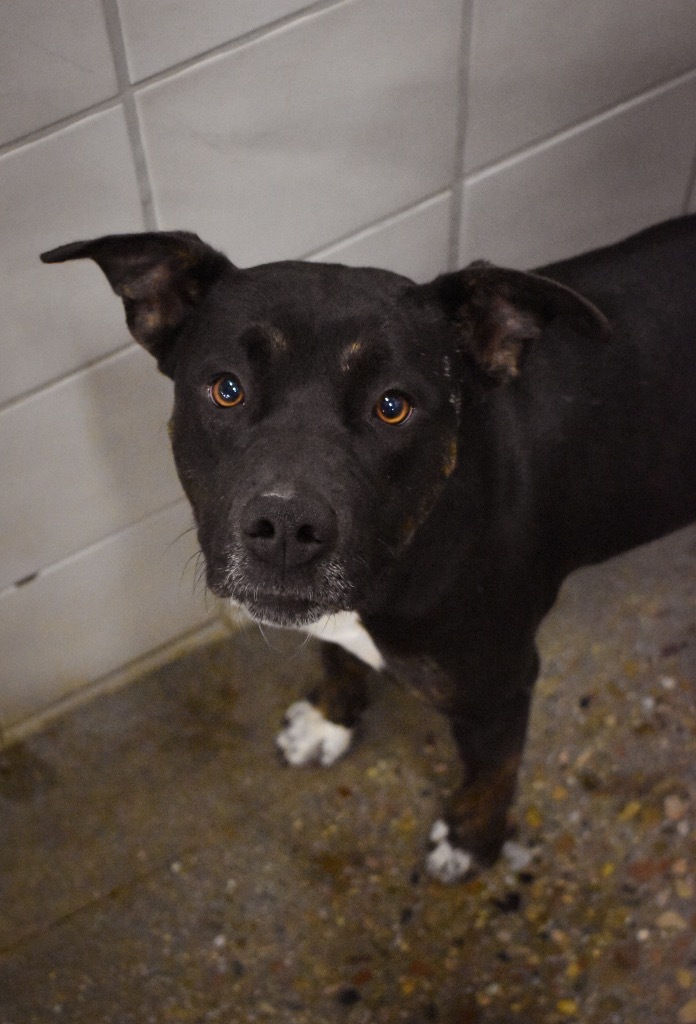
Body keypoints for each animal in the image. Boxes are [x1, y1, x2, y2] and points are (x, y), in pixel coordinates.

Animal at [42, 216, 696, 880]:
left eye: (392, 406)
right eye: (226, 389)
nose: (285, 525)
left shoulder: (500, 688)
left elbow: (493, 772)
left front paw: (471, 840)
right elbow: (336, 657)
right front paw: (329, 720)